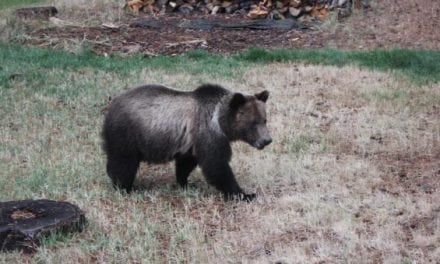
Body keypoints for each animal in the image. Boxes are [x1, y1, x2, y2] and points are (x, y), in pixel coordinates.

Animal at [102, 83, 272, 201]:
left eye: (264, 120)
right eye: (253, 123)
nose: (267, 140)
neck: (221, 121)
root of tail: (111, 105)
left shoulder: (190, 143)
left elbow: (186, 164)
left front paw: (185, 183)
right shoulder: (208, 133)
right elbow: (217, 166)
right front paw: (245, 194)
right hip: (127, 134)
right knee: (123, 163)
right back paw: (124, 187)